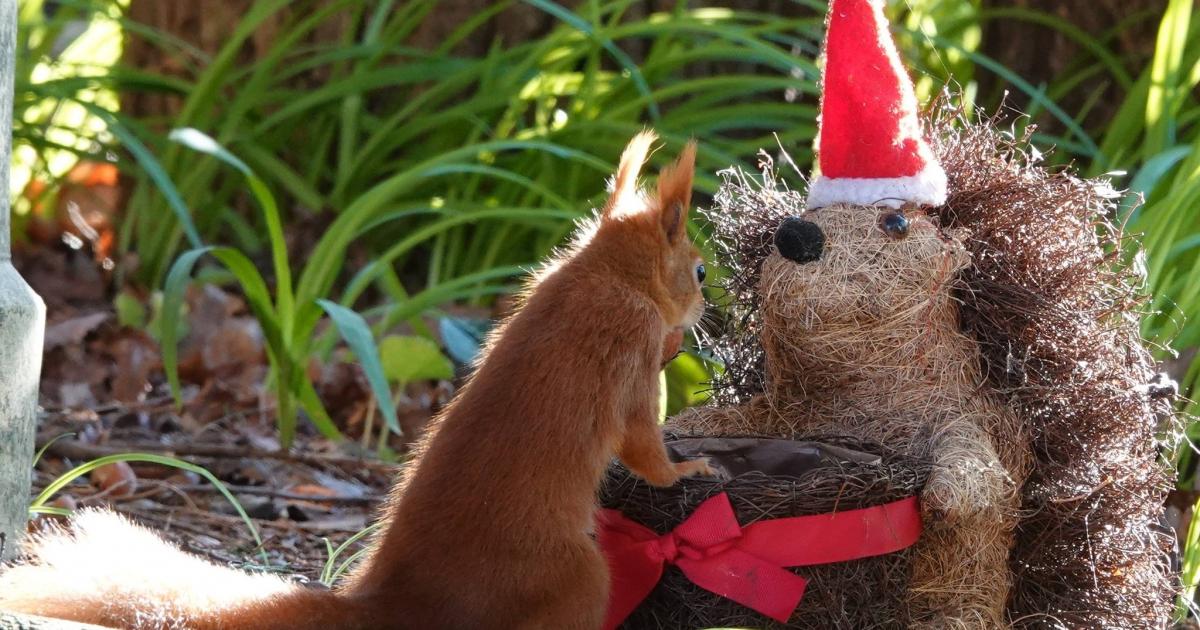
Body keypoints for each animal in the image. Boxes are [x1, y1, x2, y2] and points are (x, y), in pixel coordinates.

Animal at [0, 131, 714, 630]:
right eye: (701, 270)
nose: (707, 307)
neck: (603, 274)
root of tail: (401, 604)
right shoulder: (631, 348)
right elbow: (643, 445)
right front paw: (690, 469)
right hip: (579, 576)